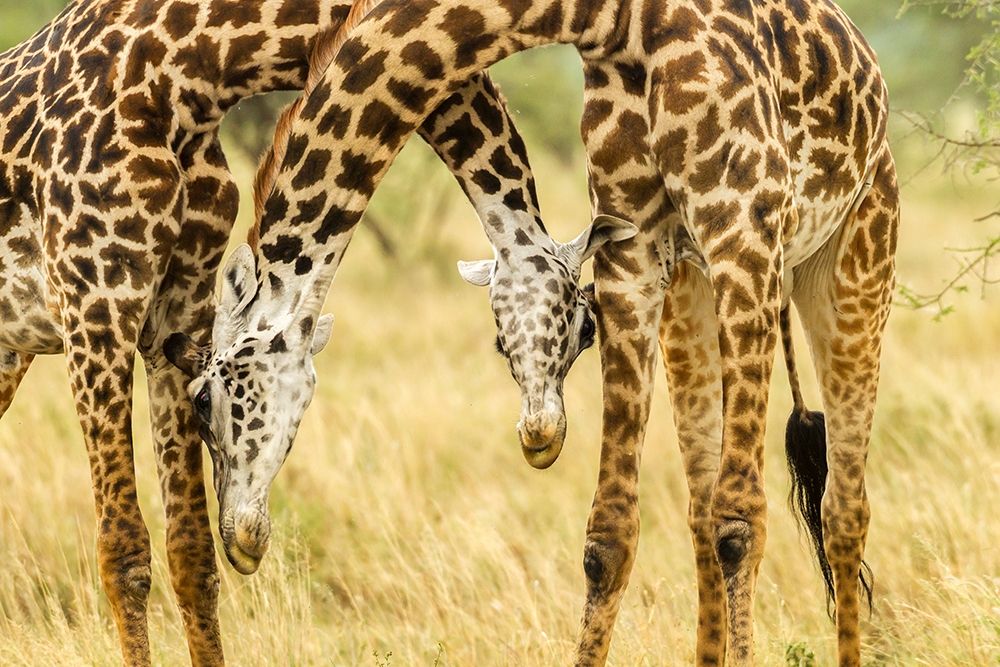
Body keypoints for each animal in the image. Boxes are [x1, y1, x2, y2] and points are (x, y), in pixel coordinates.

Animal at [0, 1, 592, 664]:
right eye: (586, 328)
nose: (542, 438)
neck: (180, 74)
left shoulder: (174, 314)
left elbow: (190, 553)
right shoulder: (97, 306)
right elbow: (123, 550)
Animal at [178, 2, 900, 664]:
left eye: (206, 401)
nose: (241, 541)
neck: (626, 26)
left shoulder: (742, 235)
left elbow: (740, 522)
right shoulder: (633, 251)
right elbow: (610, 534)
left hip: (852, 258)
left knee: (842, 507)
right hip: (691, 291)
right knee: (705, 506)